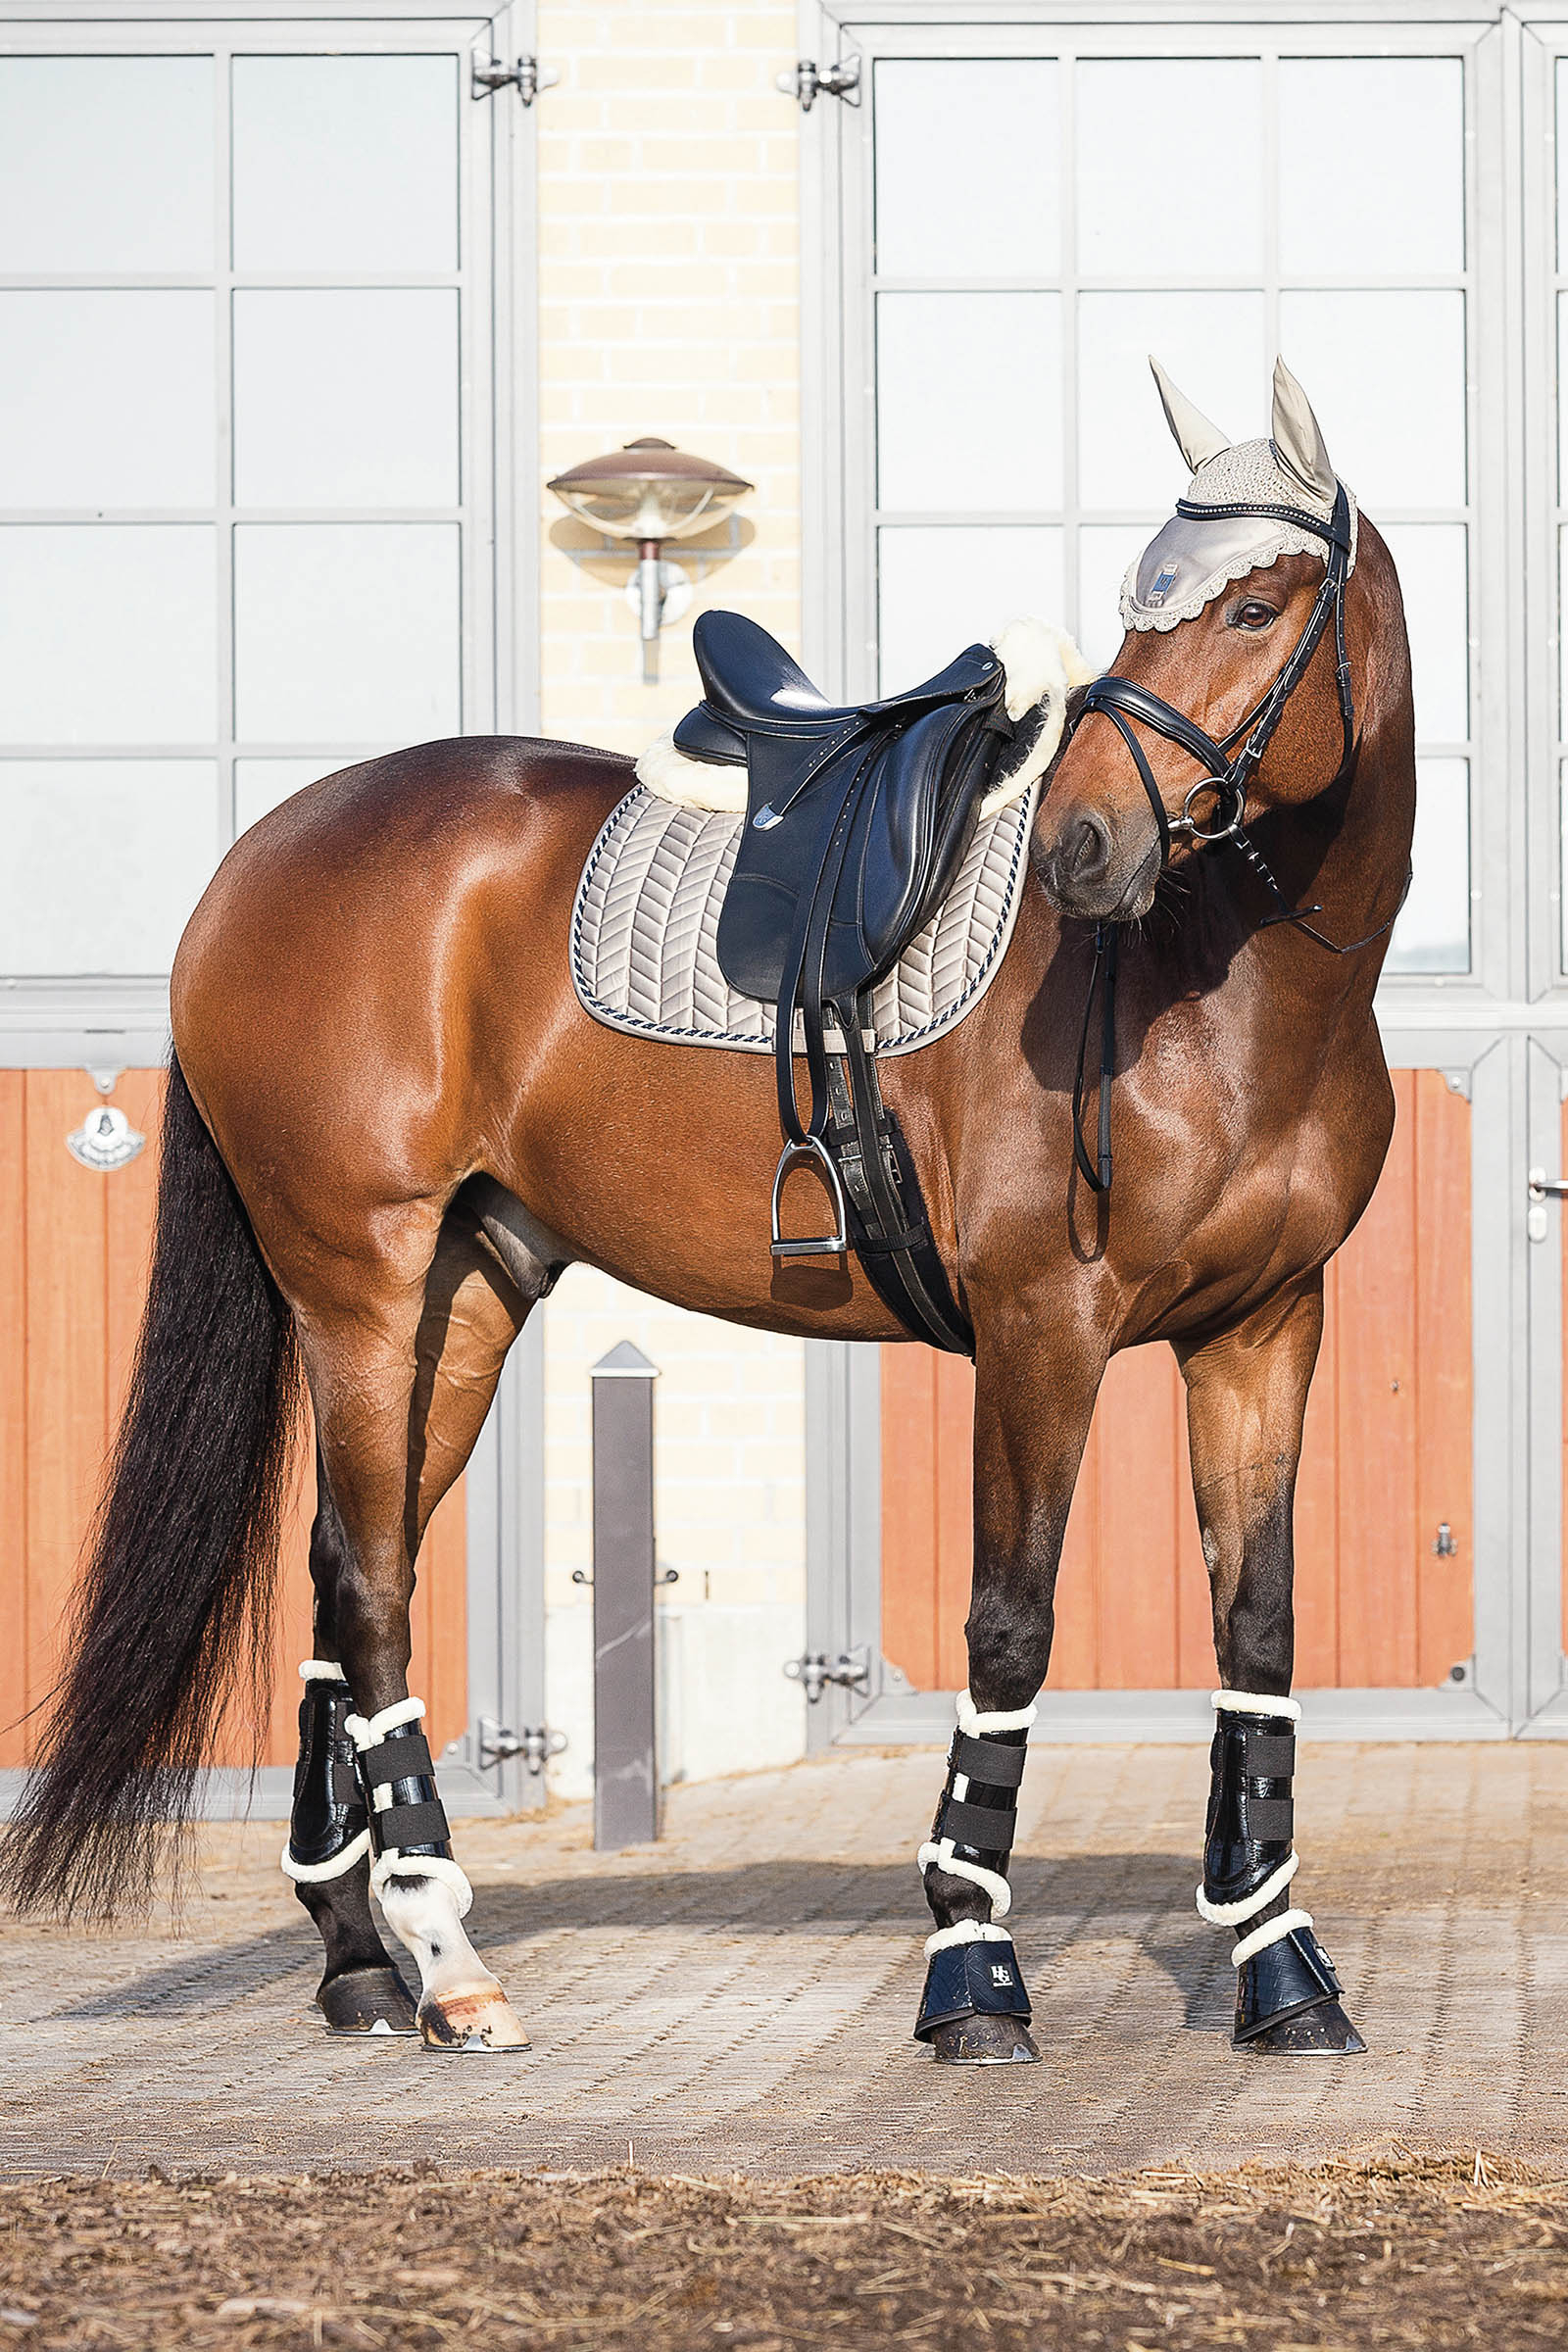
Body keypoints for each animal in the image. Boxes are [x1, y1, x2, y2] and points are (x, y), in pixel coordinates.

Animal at [1, 358, 1414, 2066]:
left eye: (1258, 604)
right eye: (1144, 612)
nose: (1085, 850)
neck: (1212, 985)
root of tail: (255, 859)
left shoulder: (1264, 1332)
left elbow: (1260, 1634)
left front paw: (1282, 1968)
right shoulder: (1042, 1333)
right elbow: (1009, 1626)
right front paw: (972, 1972)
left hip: (461, 1299)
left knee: (352, 1571)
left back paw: (358, 1959)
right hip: (357, 1282)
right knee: (370, 1587)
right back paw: (447, 1960)